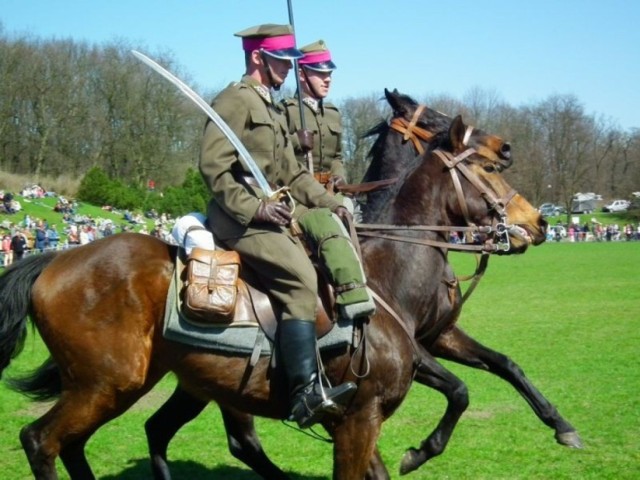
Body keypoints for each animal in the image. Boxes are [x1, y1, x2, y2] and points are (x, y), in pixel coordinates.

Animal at [2, 113, 548, 480]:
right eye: (485, 167)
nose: (539, 222)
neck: (383, 277)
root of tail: (56, 259)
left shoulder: (406, 373)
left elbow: (482, 377)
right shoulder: (357, 421)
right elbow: (454, 393)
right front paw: (421, 451)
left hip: (147, 383)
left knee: (107, 439)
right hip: (107, 384)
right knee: (41, 441)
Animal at [144, 88, 580, 478]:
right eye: (433, 120)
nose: (504, 149)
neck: (393, 255)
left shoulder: (439, 335)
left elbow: (503, 365)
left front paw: (561, 424)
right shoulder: (416, 354)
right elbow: (458, 389)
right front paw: (419, 452)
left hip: (196, 381)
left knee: (163, 429)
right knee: (240, 441)